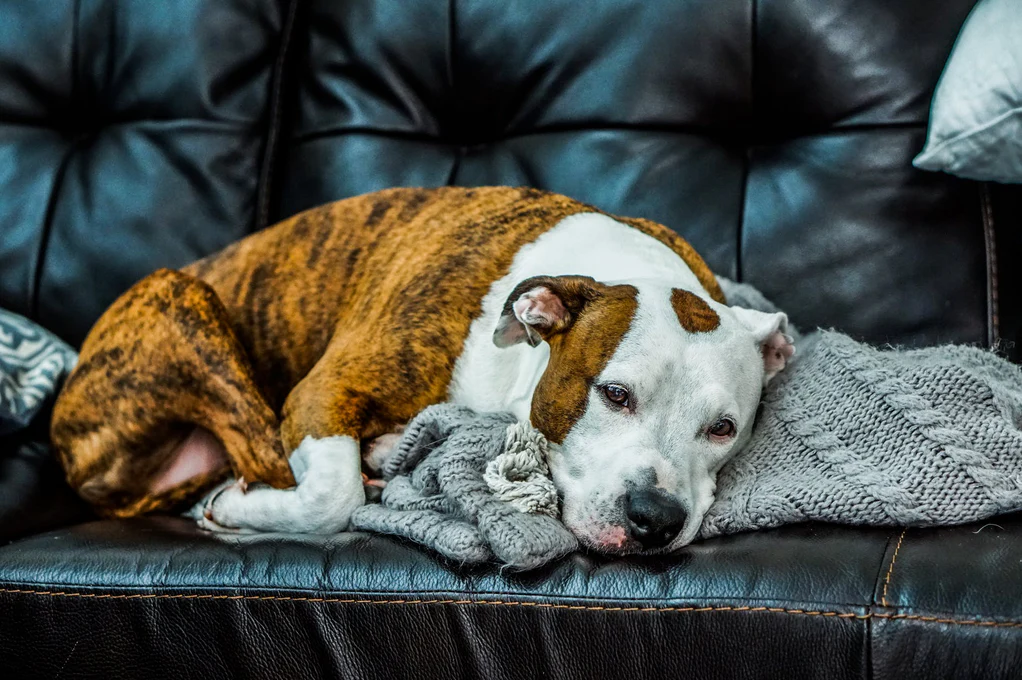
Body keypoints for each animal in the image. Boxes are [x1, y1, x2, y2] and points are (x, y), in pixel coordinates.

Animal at [51, 184, 793, 552]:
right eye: (614, 394)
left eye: (724, 429)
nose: (655, 518)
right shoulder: (323, 391)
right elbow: (330, 497)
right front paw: (249, 508)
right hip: (182, 299)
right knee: (271, 454)